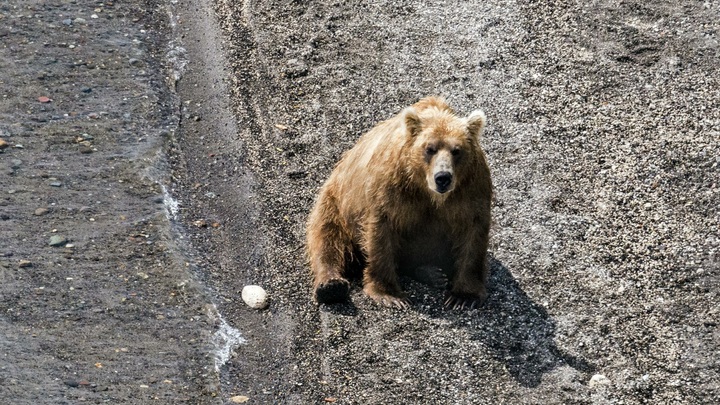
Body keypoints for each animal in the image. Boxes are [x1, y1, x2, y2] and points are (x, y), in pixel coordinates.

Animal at [306, 97, 492, 310]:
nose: (443, 177)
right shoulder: (392, 189)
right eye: (429, 149)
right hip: (335, 201)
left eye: (457, 150)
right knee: (327, 237)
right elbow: (381, 231)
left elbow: (473, 233)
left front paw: (463, 296)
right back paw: (331, 285)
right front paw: (390, 294)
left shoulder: (470, 190)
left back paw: (433, 273)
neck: (427, 192)